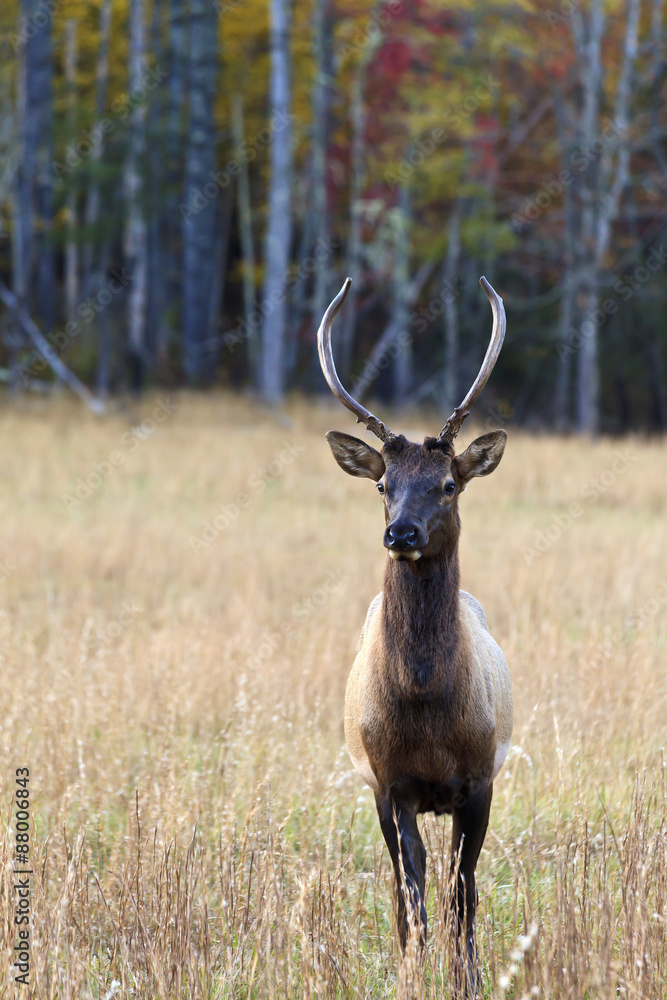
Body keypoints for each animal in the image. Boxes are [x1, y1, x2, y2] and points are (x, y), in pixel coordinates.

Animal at [317, 275, 513, 996]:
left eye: (448, 483)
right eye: (383, 483)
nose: (400, 532)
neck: (427, 709)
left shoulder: (480, 777)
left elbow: (463, 890)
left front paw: (468, 977)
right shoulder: (386, 780)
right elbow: (412, 893)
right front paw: (410, 975)